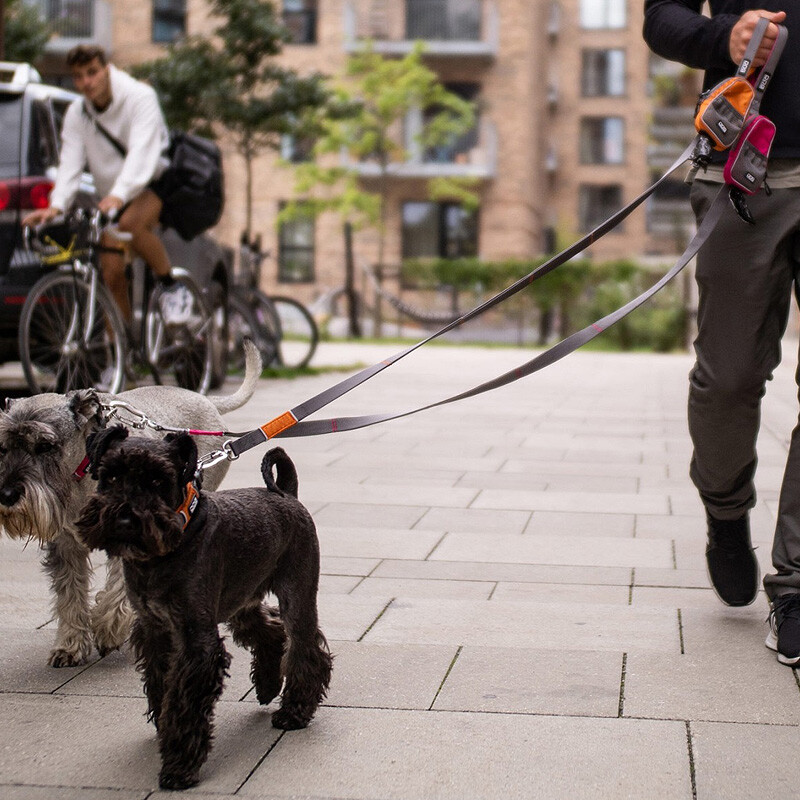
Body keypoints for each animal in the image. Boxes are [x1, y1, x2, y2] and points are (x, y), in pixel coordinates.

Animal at [0, 340, 260, 664]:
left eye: (45, 445)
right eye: (4, 447)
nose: (7, 495)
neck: (85, 473)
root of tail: (205, 399)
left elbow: (117, 588)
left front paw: (108, 629)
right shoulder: (65, 544)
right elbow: (69, 593)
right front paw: (70, 645)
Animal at [76, 428, 332, 792]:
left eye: (158, 480)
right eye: (110, 476)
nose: (124, 518)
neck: (169, 547)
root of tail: (285, 493)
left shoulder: (196, 639)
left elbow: (185, 700)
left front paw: (179, 765)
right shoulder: (155, 629)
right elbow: (161, 683)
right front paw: (164, 727)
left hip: (296, 594)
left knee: (305, 646)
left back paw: (294, 711)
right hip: (240, 599)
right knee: (270, 631)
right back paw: (268, 686)